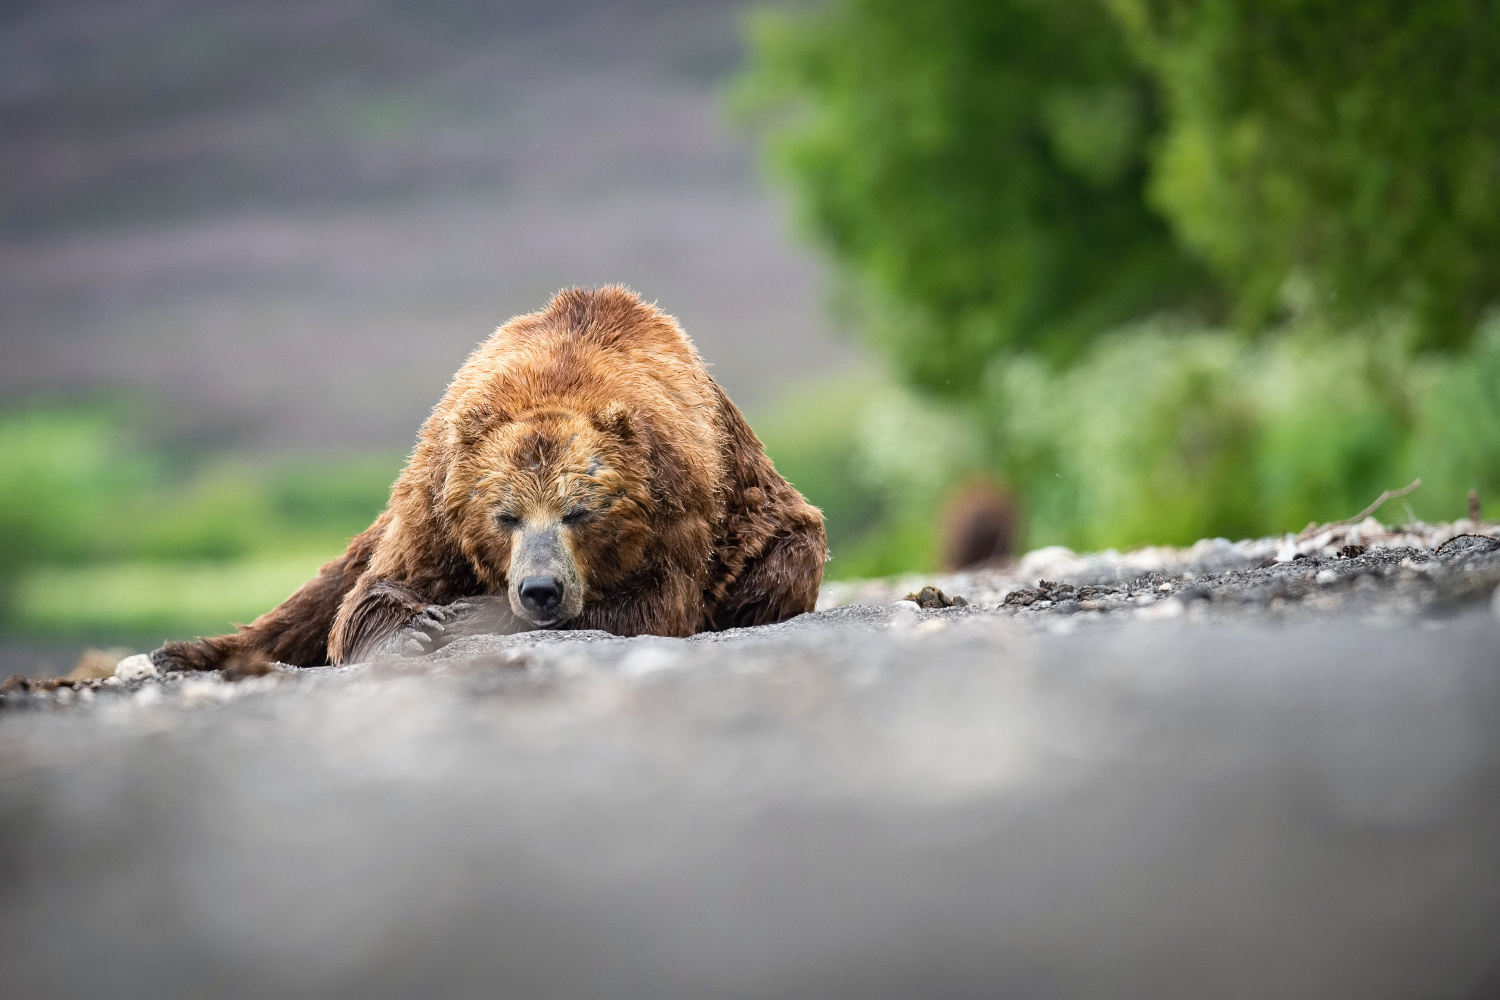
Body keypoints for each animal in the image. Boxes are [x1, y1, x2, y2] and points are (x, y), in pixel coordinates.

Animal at [152, 283, 828, 671]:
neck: (563, 376)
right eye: (505, 516)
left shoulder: (676, 506)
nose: (540, 590)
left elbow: (651, 605)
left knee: (781, 565)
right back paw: (180, 652)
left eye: (579, 513)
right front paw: (415, 628)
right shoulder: (436, 497)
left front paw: (465, 616)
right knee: (322, 589)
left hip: (774, 529)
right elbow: (368, 596)